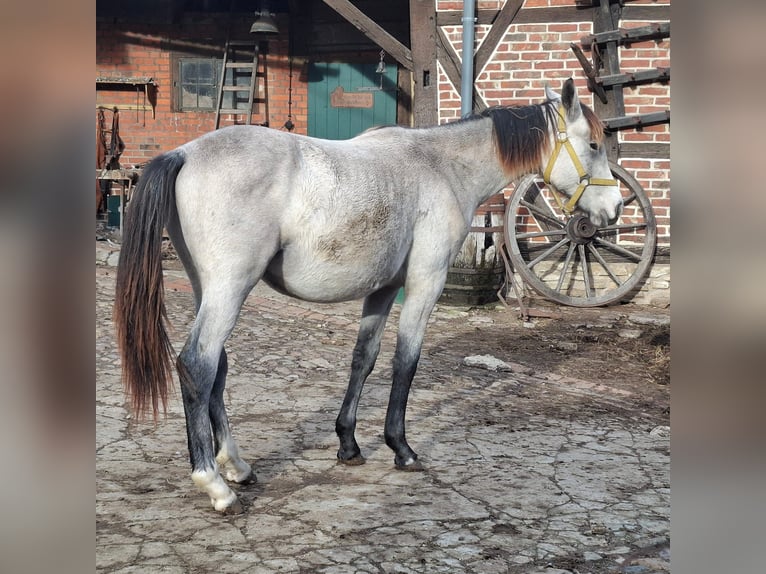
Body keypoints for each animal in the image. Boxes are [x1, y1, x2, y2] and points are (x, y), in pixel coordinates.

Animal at [113, 79, 622, 514]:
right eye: (594, 145)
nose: (615, 208)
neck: (439, 167)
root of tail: (183, 153)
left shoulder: (383, 290)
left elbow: (365, 359)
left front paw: (348, 443)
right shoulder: (425, 283)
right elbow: (406, 361)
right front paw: (401, 447)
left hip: (210, 288)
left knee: (216, 369)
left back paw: (236, 465)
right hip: (229, 290)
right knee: (197, 365)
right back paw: (215, 485)